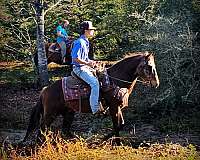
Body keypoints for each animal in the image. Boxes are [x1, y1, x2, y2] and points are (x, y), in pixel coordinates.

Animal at [23, 51, 160, 145]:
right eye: (149, 67)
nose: (156, 83)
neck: (114, 80)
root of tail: (45, 90)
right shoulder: (113, 107)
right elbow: (117, 126)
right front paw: (117, 143)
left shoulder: (117, 107)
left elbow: (121, 124)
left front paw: (103, 139)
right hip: (50, 114)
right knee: (42, 129)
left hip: (68, 113)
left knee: (64, 130)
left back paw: (77, 141)